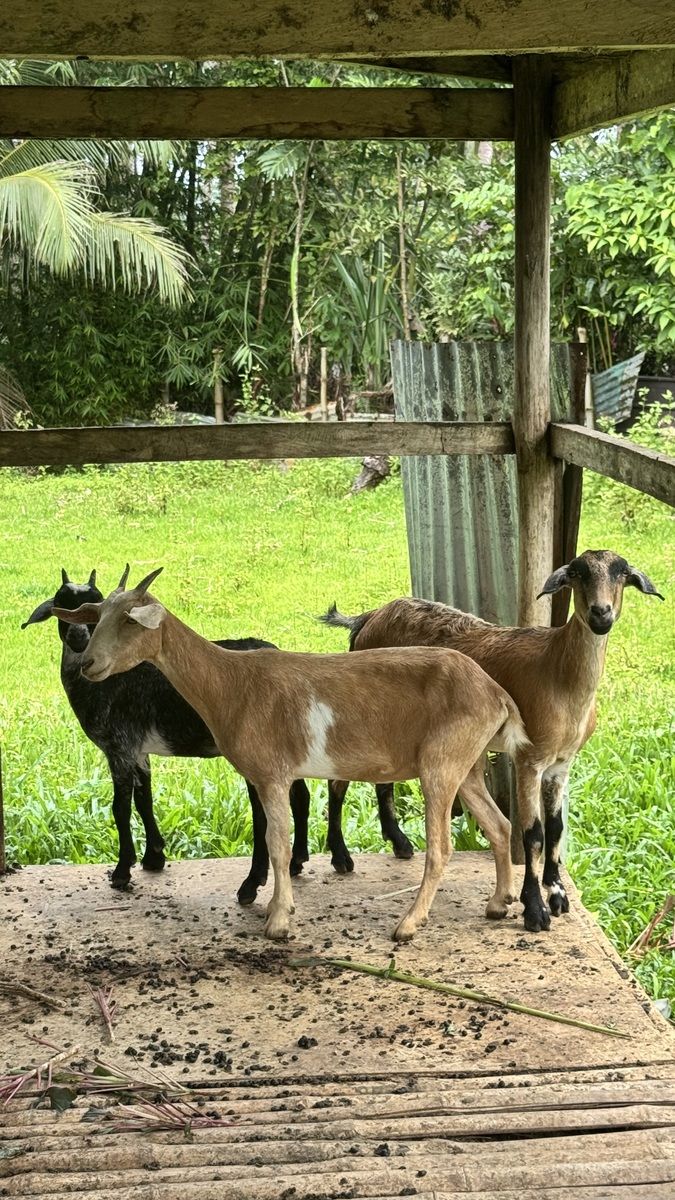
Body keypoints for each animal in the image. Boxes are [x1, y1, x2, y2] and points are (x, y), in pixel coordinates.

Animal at [53, 567, 529, 942]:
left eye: (131, 622)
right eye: (99, 616)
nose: (89, 663)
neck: (232, 682)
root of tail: (497, 694)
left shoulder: (271, 774)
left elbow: (276, 844)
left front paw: (278, 920)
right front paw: (276, 907)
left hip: (440, 765)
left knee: (441, 847)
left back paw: (409, 924)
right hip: (467, 766)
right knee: (500, 825)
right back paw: (498, 903)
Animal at [321, 549, 664, 934]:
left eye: (622, 573)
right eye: (577, 573)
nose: (600, 614)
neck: (558, 671)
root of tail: (367, 618)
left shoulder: (561, 764)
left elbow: (556, 828)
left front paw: (557, 895)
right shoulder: (529, 758)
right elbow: (533, 833)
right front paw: (534, 910)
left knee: (383, 782)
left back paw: (399, 843)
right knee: (338, 783)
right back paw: (341, 856)